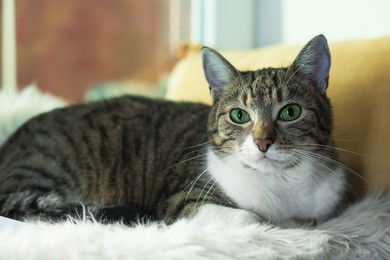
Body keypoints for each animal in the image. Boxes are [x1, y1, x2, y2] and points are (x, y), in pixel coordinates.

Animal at [0, 35, 344, 228]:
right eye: (239, 115)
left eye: (290, 112)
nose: (262, 142)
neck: (280, 186)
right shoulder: (182, 200)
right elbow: (252, 219)